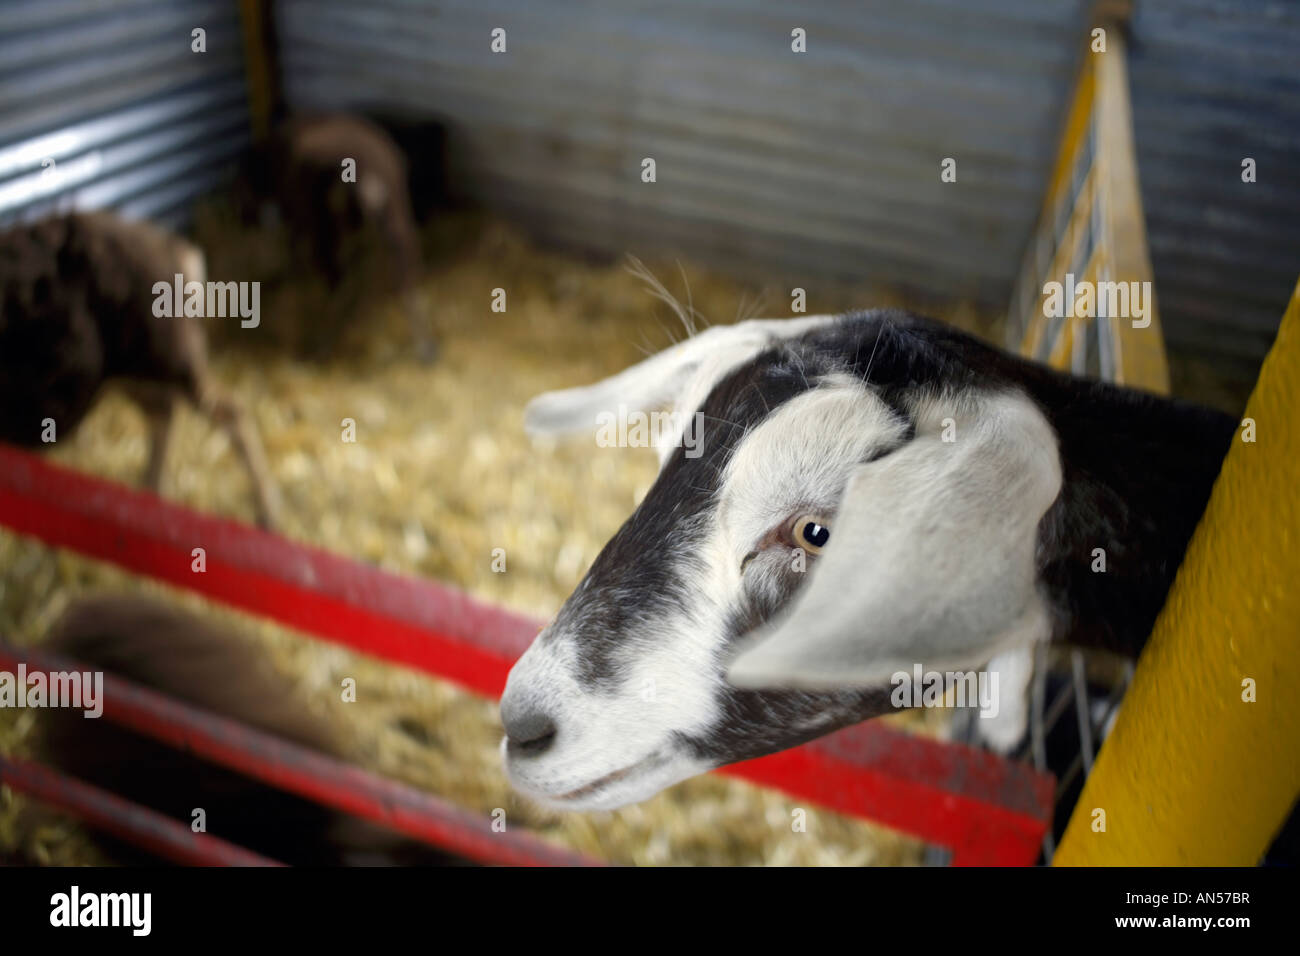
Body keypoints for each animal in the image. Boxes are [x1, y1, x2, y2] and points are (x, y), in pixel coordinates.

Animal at [0, 211, 282, 527]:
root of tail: (177, 252)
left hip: (171, 361)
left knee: (230, 412)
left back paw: (267, 513)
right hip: (131, 374)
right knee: (164, 413)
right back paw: (150, 496)